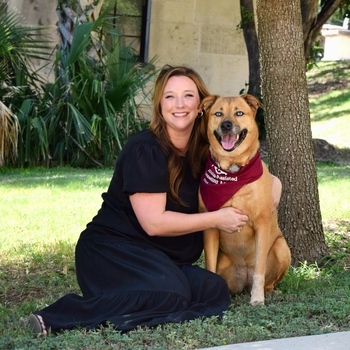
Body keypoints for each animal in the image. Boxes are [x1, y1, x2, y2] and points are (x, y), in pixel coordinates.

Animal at [198, 94, 292, 304]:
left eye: (239, 113)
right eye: (218, 113)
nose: (226, 125)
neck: (234, 171)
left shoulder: (261, 223)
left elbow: (259, 269)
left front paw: (257, 299)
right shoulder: (210, 227)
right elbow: (210, 266)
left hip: (282, 247)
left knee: (267, 280)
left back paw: (269, 292)